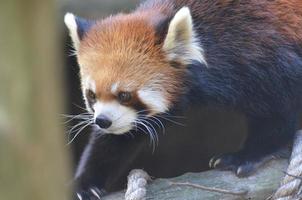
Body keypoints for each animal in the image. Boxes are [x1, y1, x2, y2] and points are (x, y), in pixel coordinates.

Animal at [63, 0, 302, 198]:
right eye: (91, 95)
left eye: (124, 95)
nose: (103, 121)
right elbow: (116, 139)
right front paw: (86, 182)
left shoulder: (259, 51)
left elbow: (281, 108)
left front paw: (249, 155)